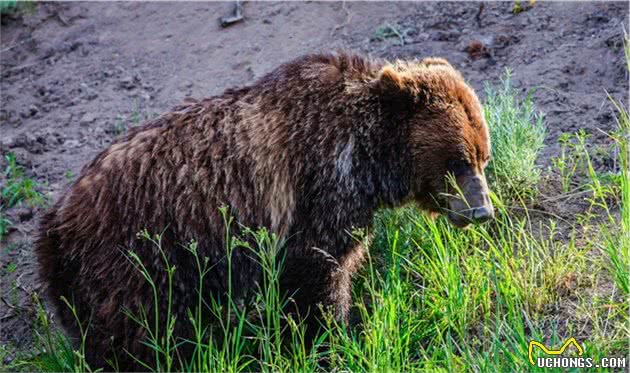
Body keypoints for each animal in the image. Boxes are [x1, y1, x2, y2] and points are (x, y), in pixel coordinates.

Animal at [34, 51, 496, 370]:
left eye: (483, 156)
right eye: (458, 161)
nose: (482, 211)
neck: (365, 157)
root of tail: (52, 227)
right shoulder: (316, 193)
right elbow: (319, 275)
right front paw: (334, 336)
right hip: (135, 260)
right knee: (136, 337)